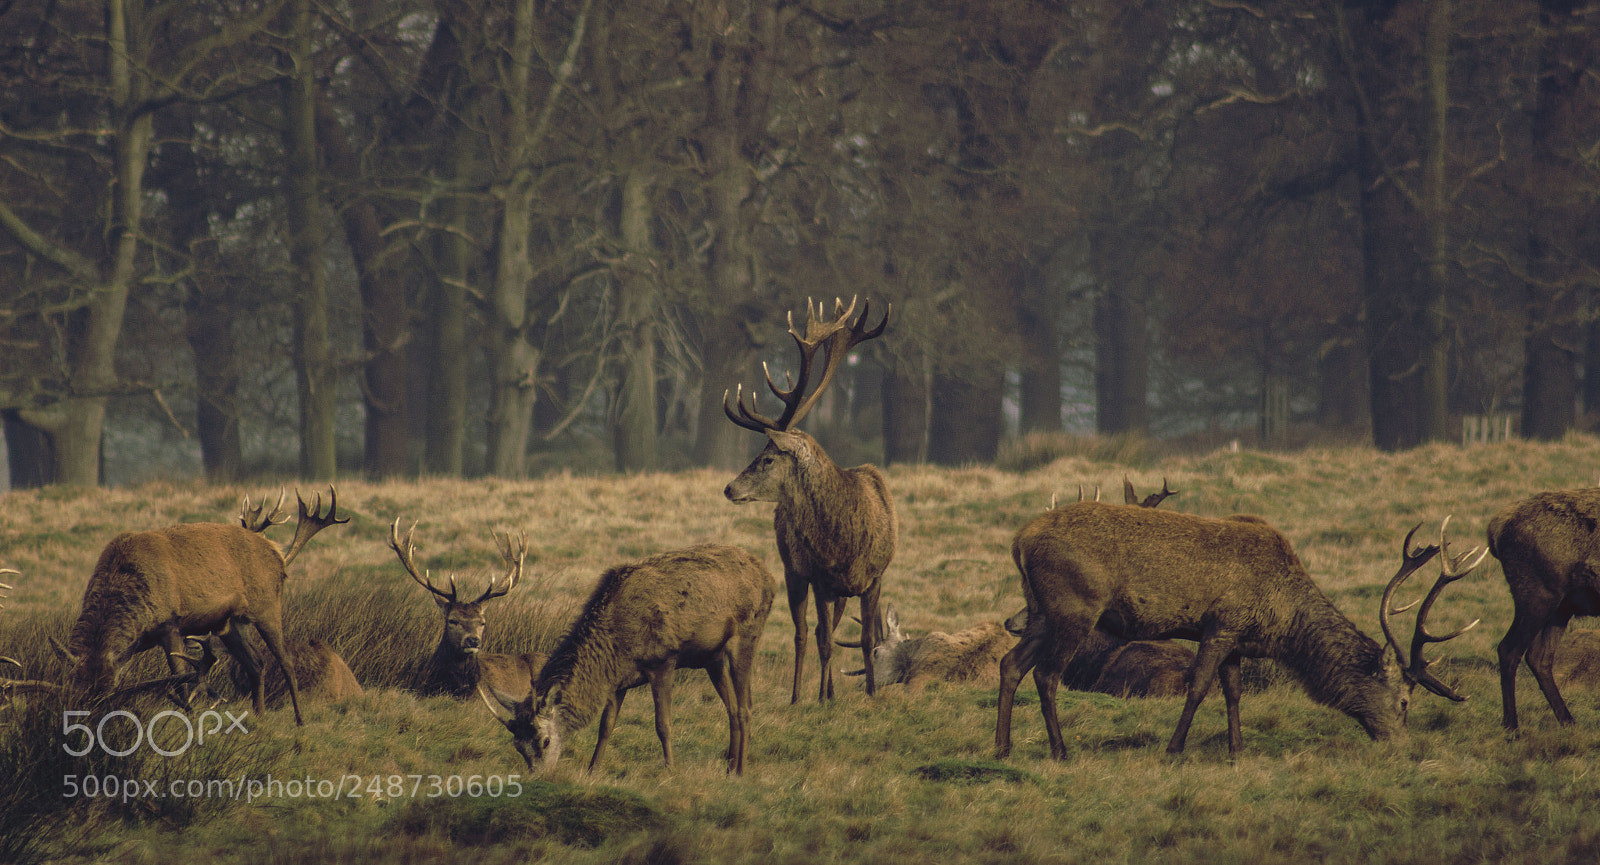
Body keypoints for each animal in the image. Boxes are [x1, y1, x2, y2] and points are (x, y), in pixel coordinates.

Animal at [51, 487, 348, 725]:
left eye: (108, 695)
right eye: (76, 696)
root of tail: (277, 554)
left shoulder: (170, 623)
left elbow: (181, 676)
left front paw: (189, 717)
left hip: (268, 606)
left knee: (284, 660)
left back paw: (299, 720)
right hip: (230, 624)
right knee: (256, 662)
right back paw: (259, 716)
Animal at [481, 544, 775, 775]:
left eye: (545, 741)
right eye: (517, 745)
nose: (539, 776)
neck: (617, 646)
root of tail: (769, 577)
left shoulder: (663, 661)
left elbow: (663, 724)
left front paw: (670, 770)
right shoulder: (617, 681)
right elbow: (605, 726)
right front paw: (592, 770)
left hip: (748, 633)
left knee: (745, 706)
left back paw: (740, 770)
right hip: (712, 657)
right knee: (731, 708)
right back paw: (729, 765)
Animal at [723, 295, 896, 704]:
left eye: (767, 459)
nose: (730, 488)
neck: (848, 541)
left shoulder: (874, 577)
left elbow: (867, 639)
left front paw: (870, 693)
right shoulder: (818, 577)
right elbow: (823, 640)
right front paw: (818, 698)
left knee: (824, 631)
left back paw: (828, 691)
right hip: (792, 571)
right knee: (805, 634)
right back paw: (800, 695)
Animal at [995, 503, 1485, 760]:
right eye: (1403, 702)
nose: (1404, 749)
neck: (1279, 620)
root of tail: (1020, 540)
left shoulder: (1236, 641)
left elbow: (1233, 692)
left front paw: (1237, 751)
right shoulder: (1220, 624)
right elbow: (1198, 687)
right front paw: (1174, 750)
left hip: (1039, 611)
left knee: (1009, 664)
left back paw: (1002, 748)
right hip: (1074, 607)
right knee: (1046, 674)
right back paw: (1060, 751)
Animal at [1487, 488, 1600, 730]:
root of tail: (1495, 527)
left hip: (1561, 607)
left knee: (1539, 657)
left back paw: (1568, 721)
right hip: (1537, 596)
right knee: (1508, 649)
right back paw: (1512, 726)